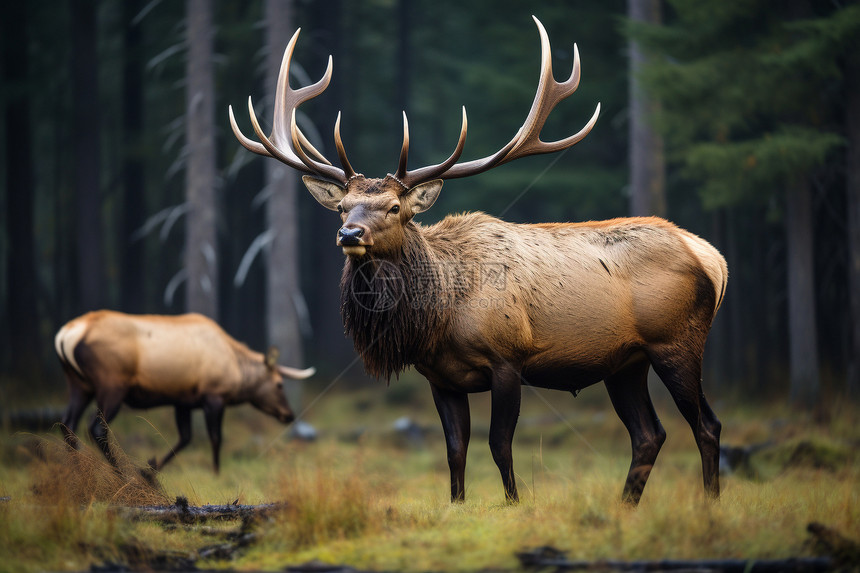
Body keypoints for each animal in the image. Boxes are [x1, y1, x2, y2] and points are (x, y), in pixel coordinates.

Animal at [54, 310, 316, 472]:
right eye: (279, 384)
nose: (288, 415)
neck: (236, 369)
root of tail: (66, 335)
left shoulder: (183, 401)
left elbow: (185, 438)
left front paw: (149, 471)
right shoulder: (214, 396)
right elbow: (215, 438)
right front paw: (216, 472)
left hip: (79, 385)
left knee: (67, 423)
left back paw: (77, 470)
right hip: (112, 385)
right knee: (96, 427)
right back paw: (120, 474)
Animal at [228, 15, 724, 502]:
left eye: (394, 207)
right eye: (342, 207)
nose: (349, 233)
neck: (441, 312)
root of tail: (712, 257)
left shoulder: (508, 361)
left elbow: (499, 445)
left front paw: (515, 504)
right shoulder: (441, 378)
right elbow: (455, 450)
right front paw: (457, 505)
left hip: (677, 342)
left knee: (706, 424)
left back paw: (709, 502)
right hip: (625, 362)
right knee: (649, 434)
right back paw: (626, 507)